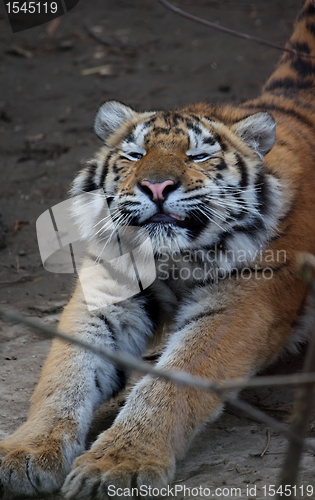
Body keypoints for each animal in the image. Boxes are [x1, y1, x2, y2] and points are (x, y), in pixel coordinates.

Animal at [0, 0, 315, 498]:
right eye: (134, 155)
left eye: (198, 156)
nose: (156, 186)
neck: (173, 258)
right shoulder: (107, 290)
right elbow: (65, 372)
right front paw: (27, 451)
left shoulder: (241, 304)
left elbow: (170, 384)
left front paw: (117, 464)